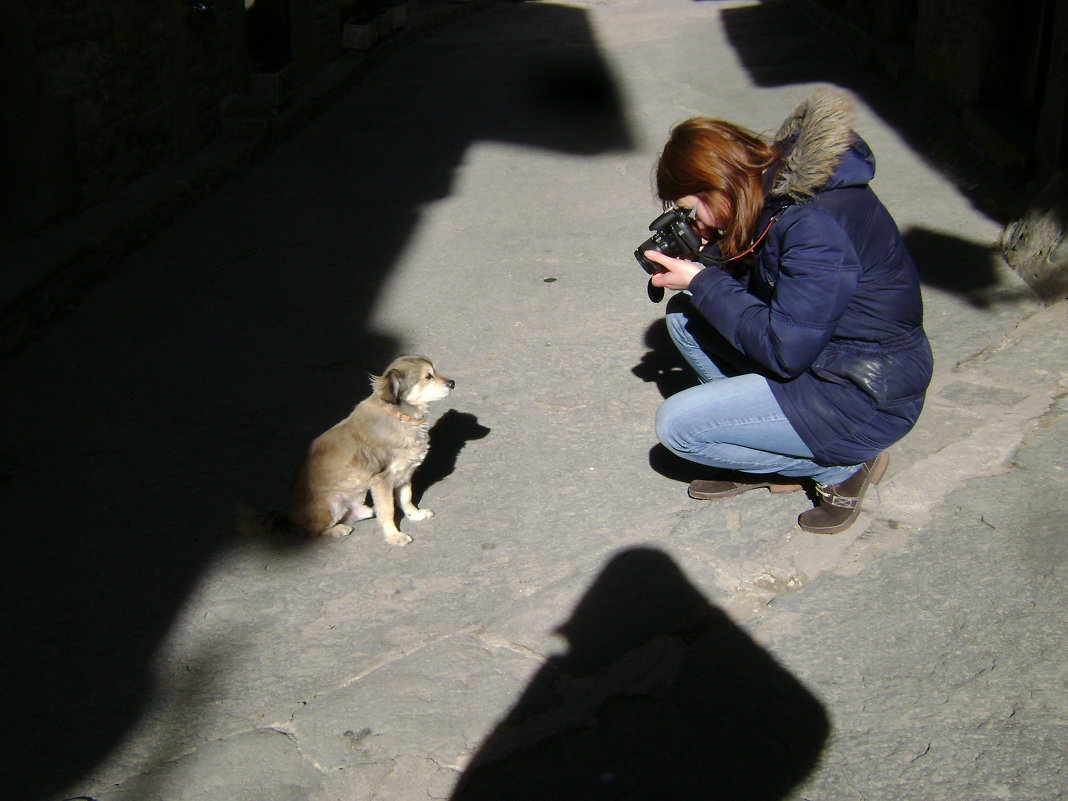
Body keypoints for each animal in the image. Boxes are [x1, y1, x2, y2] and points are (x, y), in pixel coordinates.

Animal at [288, 356, 450, 546]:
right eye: (428, 377)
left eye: (434, 372)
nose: (452, 383)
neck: (402, 417)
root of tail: (290, 518)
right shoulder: (382, 480)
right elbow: (388, 510)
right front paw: (394, 536)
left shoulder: (404, 473)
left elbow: (406, 498)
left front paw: (415, 515)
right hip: (333, 504)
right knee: (312, 532)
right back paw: (338, 530)